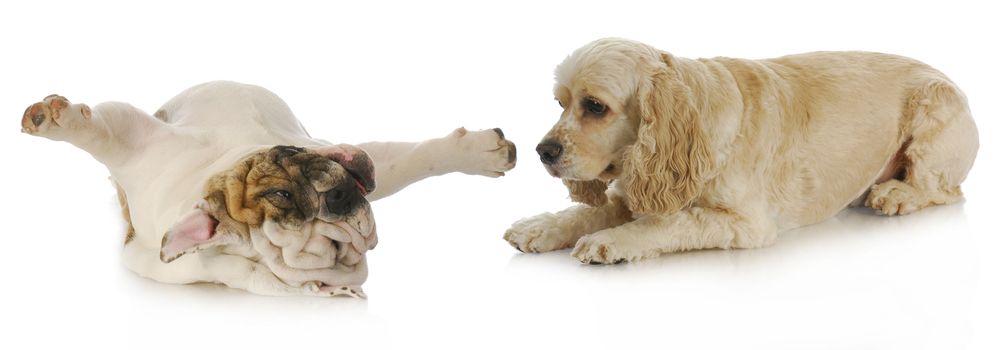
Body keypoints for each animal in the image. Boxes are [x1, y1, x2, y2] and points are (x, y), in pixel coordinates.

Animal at [23, 81, 518, 294]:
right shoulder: (138, 147)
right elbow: (103, 134)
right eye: (279, 196)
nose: (338, 197)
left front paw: (480, 152)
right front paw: (54, 119)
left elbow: (413, 157)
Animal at [506, 37, 975, 260]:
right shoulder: (640, 189)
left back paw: (894, 193)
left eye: (595, 106)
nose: (542, 151)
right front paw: (541, 227)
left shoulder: (746, 224)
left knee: (943, 189)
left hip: (934, 117)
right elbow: (588, 212)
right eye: (560, 103)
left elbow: (667, 223)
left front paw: (610, 241)